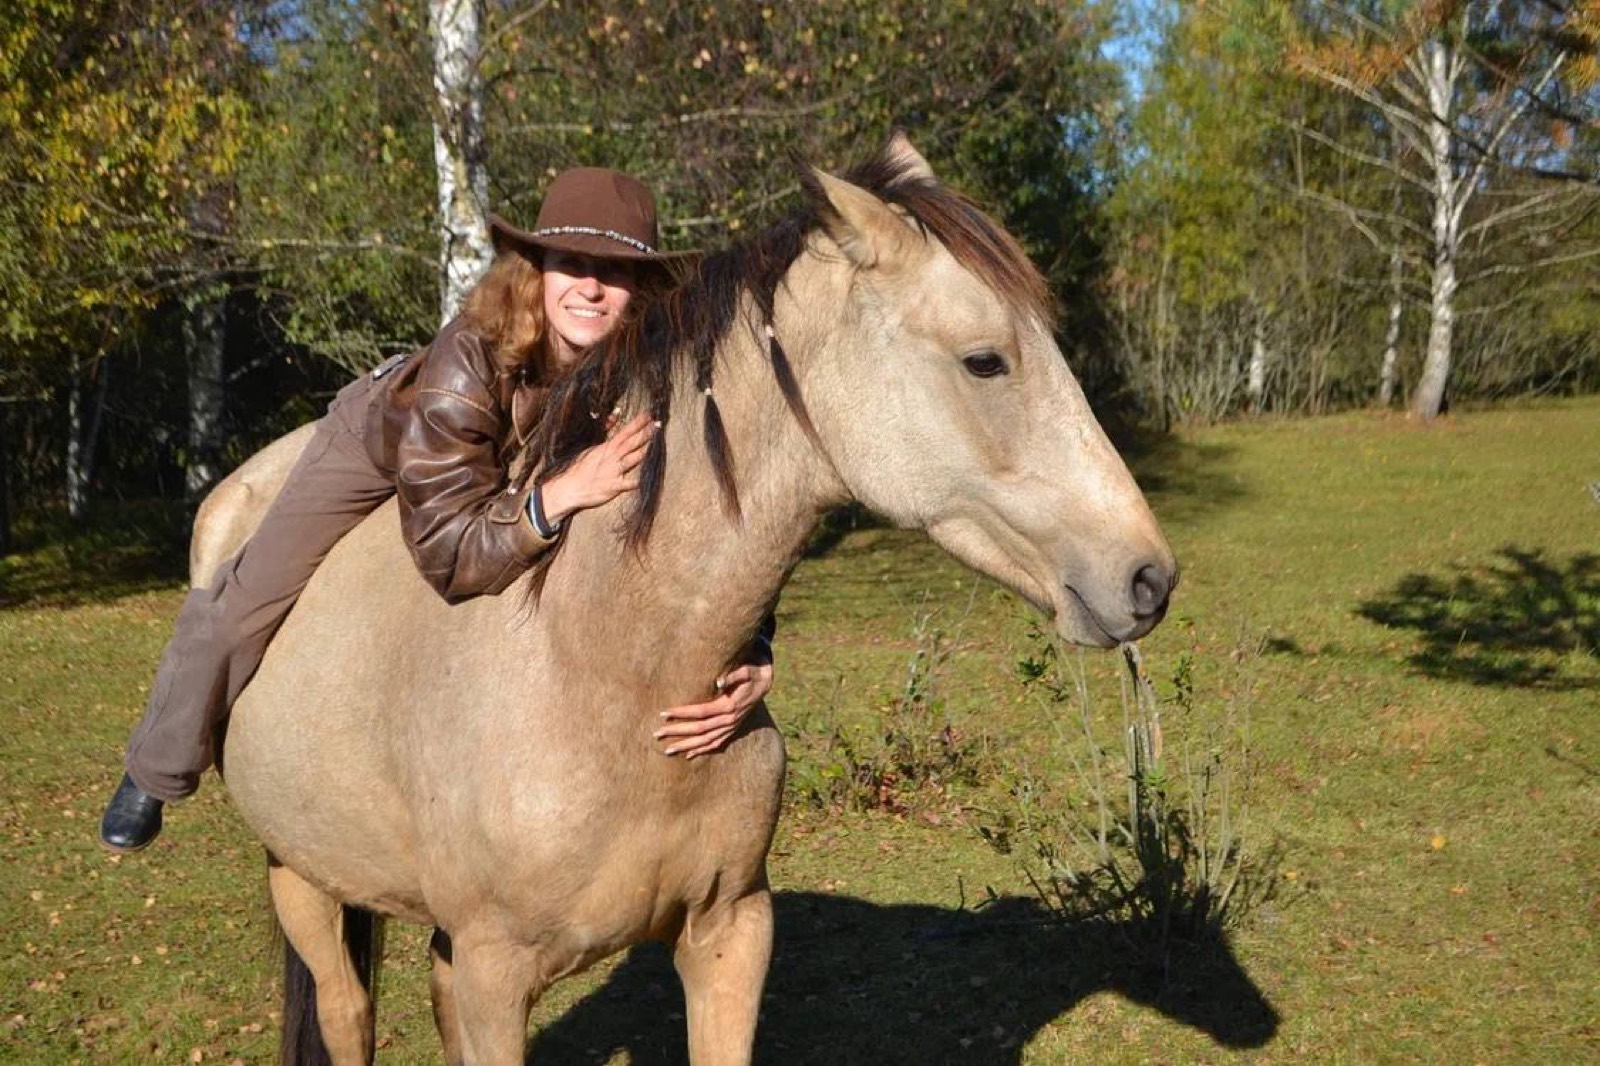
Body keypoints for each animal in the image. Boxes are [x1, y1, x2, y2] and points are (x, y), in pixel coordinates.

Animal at [199, 135, 1176, 1065]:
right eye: (985, 361)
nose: (1149, 579)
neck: (603, 665)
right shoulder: (494, 977)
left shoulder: (731, 932)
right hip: (300, 877)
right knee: (347, 1013)